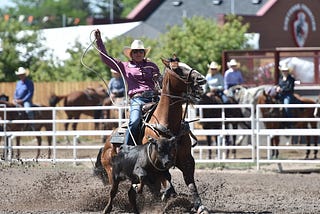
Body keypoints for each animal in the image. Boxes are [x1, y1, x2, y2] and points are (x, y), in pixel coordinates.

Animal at [96, 59, 209, 214]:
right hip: (112, 171)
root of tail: (106, 144)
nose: (201, 79)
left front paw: (199, 206)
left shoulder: (186, 159)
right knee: (115, 190)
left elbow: (190, 183)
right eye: (177, 69)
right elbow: (165, 179)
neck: (167, 123)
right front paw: (167, 194)